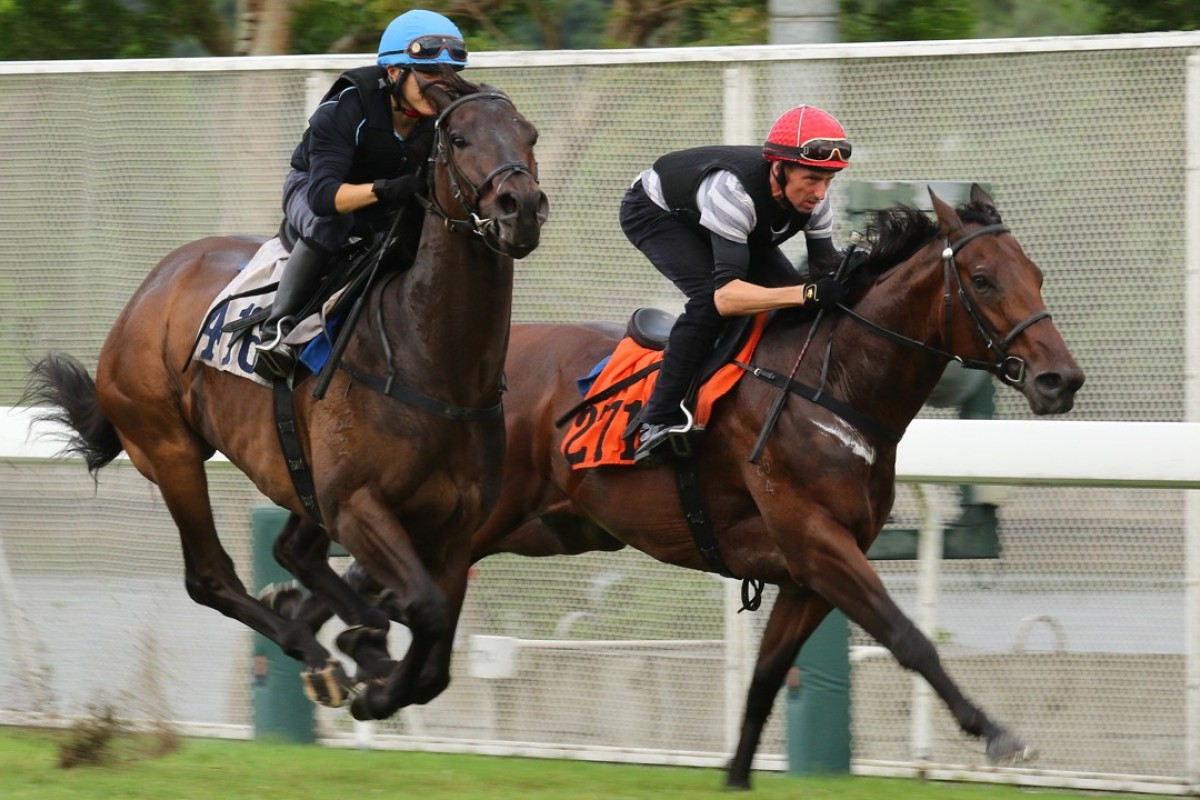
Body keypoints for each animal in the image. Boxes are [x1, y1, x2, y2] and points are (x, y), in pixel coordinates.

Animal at [24, 74, 549, 724]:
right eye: (458, 138)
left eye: (530, 135)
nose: (520, 207)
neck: (431, 362)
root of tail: (149, 289)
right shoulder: (357, 504)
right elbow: (424, 609)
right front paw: (375, 685)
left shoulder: (453, 527)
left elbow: (436, 656)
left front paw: (379, 664)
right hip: (170, 450)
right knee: (210, 575)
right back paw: (319, 651)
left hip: (296, 473)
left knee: (292, 549)